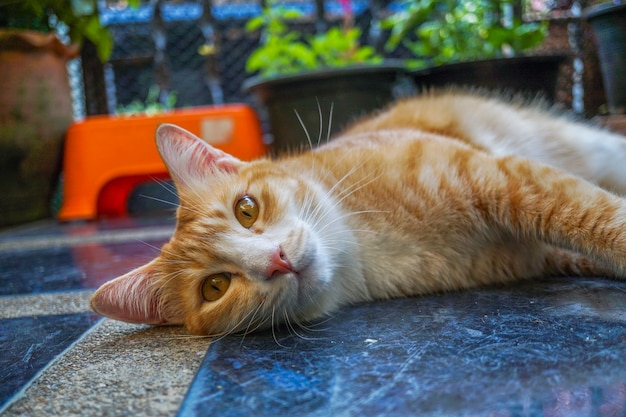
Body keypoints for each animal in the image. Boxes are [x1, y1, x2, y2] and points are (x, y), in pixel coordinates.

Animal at [90, 91, 624, 334]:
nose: (276, 260)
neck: (367, 242)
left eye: (245, 209)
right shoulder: (544, 252)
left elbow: (598, 218)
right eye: (215, 287)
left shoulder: (507, 178)